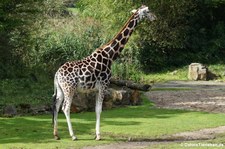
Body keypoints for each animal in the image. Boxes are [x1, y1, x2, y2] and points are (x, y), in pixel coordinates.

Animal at [51, 5, 156, 141]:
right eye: (147, 11)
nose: (155, 17)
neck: (110, 55)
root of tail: (57, 74)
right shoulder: (103, 85)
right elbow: (99, 110)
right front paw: (98, 136)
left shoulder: (96, 89)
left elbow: (97, 109)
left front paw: (96, 134)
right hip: (70, 88)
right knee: (65, 108)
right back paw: (73, 136)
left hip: (61, 89)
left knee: (57, 106)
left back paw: (56, 135)